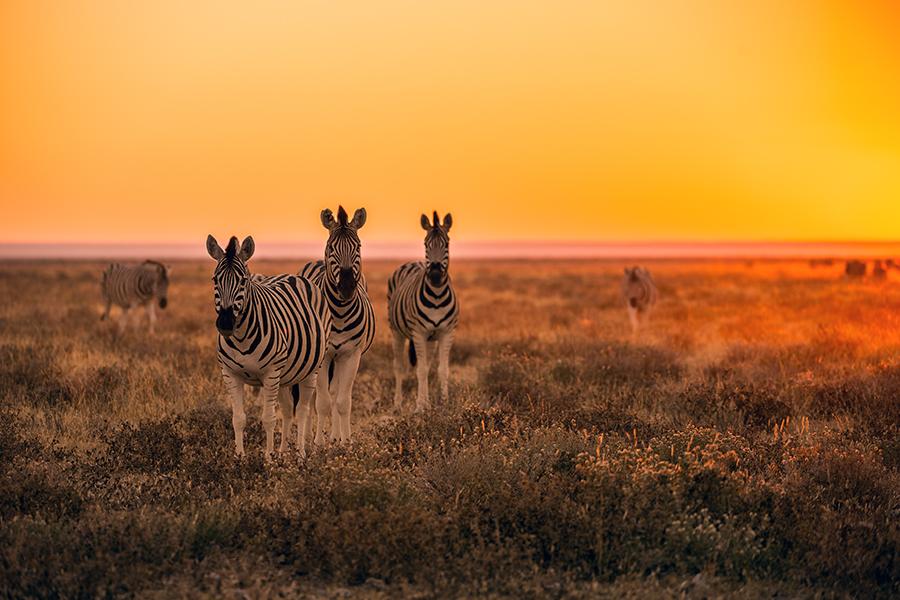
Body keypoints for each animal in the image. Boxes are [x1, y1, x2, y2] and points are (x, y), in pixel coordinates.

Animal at [206, 234, 331, 457]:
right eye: (215, 280)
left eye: (243, 280)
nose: (226, 323)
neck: (241, 338)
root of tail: (294, 276)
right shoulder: (230, 374)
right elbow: (238, 419)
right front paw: (240, 457)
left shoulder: (270, 373)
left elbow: (268, 419)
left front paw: (268, 459)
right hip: (285, 375)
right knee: (288, 408)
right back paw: (283, 453)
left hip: (311, 370)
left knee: (302, 410)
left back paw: (301, 454)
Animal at [299, 206, 375, 444]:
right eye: (331, 247)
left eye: (358, 247)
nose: (347, 287)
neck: (340, 313)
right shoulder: (324, 357)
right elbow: (322, 402)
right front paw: (317, 443)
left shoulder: (351, 354)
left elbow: (342, 400)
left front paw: (345, 441)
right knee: (313, 396)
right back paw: (309, 436)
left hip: (339, 358)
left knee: (334, 392)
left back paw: (335, 436)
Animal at [388, 211, 459, 412]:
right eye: (426, 244)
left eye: (446, 244)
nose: (434, 275)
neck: (436, 297)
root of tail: (413, 262)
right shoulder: (418, 333)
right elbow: (419, 370)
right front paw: (419, 407)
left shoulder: (446, 332)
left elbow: (442, 369)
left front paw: (444, 403)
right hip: (396, 331)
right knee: (399, 367)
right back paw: (398, 404)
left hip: (431, 339)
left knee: (426, 366)